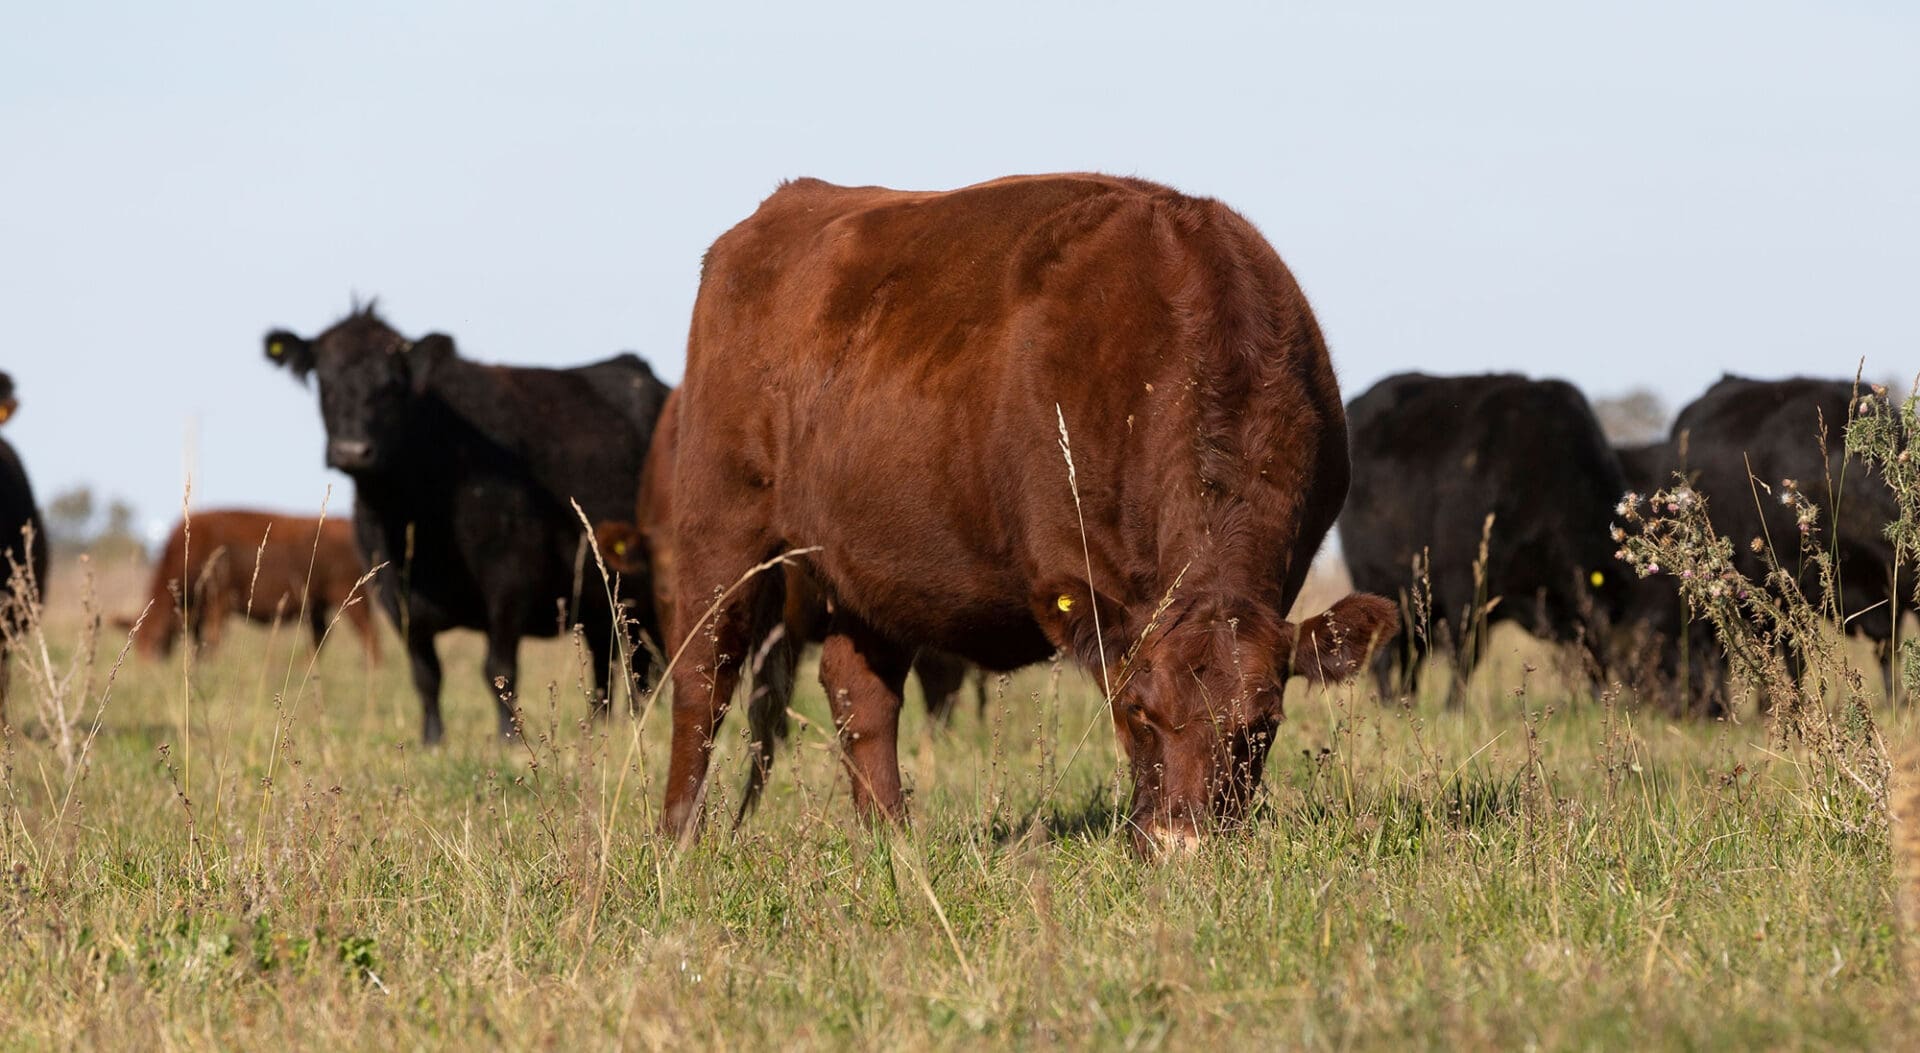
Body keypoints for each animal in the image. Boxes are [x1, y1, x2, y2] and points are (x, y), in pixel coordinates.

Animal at [263, 303, 668, 745]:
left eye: (392, 385)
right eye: (325, 380)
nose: (352, 450)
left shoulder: (509, 579)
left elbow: (499, 669)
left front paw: (510, 740)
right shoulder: (395, 595)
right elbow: (426, 674)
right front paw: (432, 742)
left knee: (646, 666)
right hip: (602, 600)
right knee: (611, 669)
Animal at [660, 172, 1397, 857]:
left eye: (1262, 724)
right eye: (1140, 711)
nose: (1181, 845)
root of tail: (789, 203)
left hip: (865, 564)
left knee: (859, 696)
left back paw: (892, 842)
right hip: (718, 524)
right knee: (704, 676)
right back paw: (679, 839)